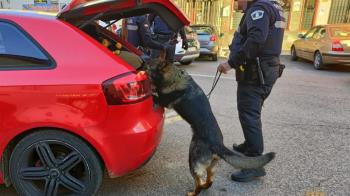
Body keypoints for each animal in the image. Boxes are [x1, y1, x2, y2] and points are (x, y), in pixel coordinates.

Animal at [146, 51, 276, 196]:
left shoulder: (163, 100)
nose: (142, 63)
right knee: (209, 181)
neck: (175, 77)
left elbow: (155, 95)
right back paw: (205, 185)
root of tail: (218, 145)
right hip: (210, 166)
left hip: (193, 159)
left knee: (198, 183)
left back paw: (193, 192)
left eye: (149, 66)